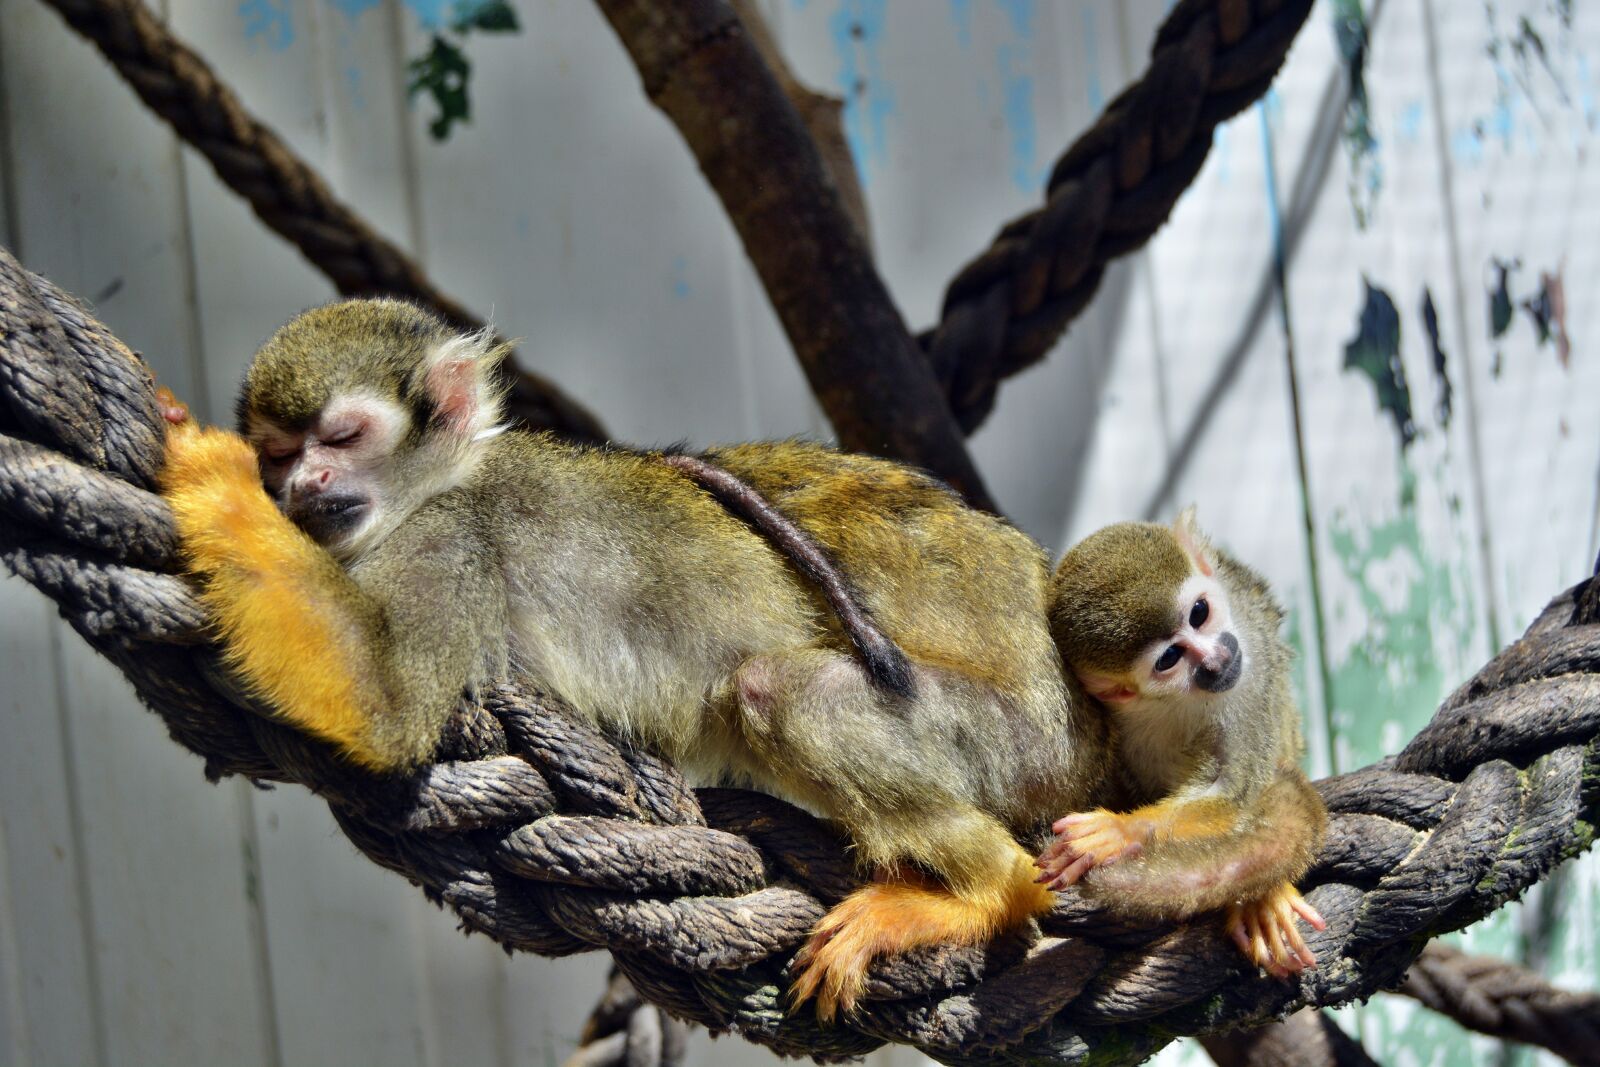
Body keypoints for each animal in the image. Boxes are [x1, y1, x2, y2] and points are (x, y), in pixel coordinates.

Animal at [1035, 511, 1329, 976]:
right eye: (1169, 659)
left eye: (1199, 613)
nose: (1216, 659)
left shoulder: (1252, 662)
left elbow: (1233, 793)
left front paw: (1122, 830)